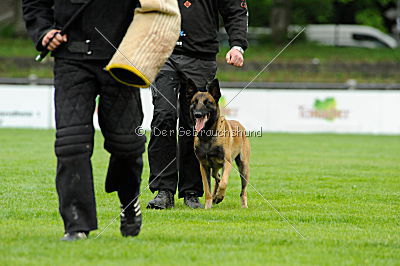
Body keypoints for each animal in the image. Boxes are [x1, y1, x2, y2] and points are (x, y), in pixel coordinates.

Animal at [185, 79, 250, 210]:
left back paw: (243, 205)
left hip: (243, 167)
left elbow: (224, 183)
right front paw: (208, 205)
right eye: (194, 102)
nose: (198, 114)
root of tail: (239, 124)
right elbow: (207, 189)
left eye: (208, 103)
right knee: (217, 177)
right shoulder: (204, 166)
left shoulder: (227, 162)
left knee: (242, 190)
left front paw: (220, 196)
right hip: (214, 168)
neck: (207, 136)